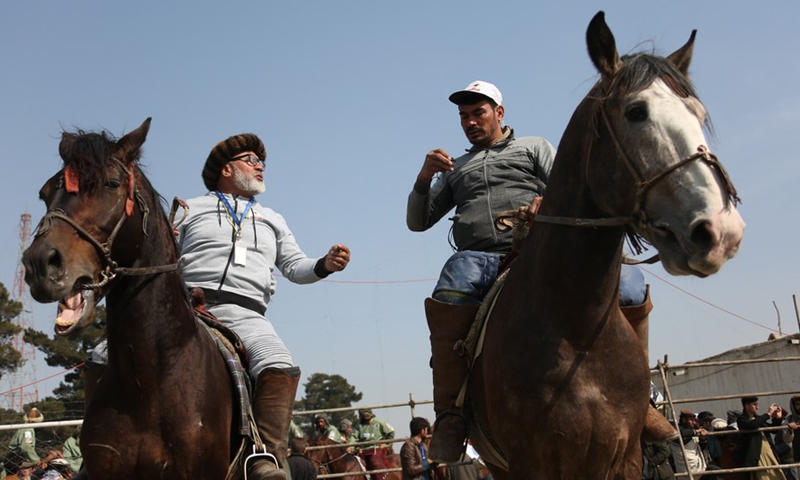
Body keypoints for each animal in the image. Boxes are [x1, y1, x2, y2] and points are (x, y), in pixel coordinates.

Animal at [466, 12, 748, 480]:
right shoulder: (532, 463)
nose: (721, 231)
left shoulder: (625, 458)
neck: (575, 331)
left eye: (698, 114)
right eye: (636, 112)